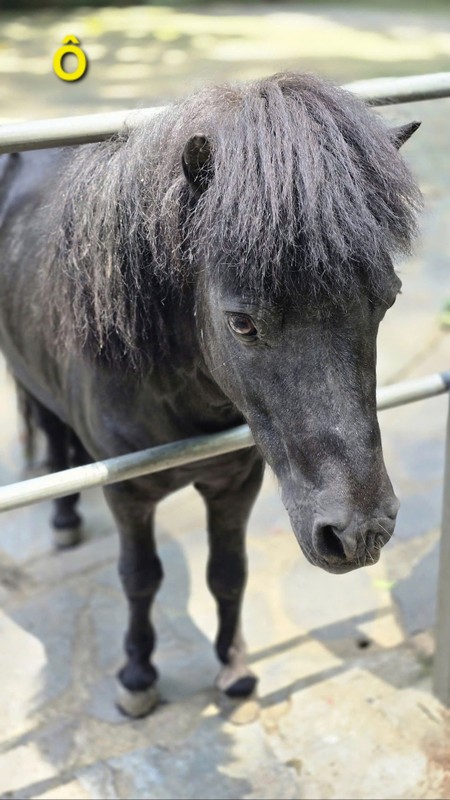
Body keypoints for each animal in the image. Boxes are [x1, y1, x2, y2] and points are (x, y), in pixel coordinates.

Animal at [0, 72, 422, 716]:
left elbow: (228, 572)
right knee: (51, 430)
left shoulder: (235, 481)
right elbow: (140, 577)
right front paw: (137, 677)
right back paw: (65, 516)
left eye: (387, 298)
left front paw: (235, 668)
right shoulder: (127, 494)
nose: (360, 533)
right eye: (241, 322)